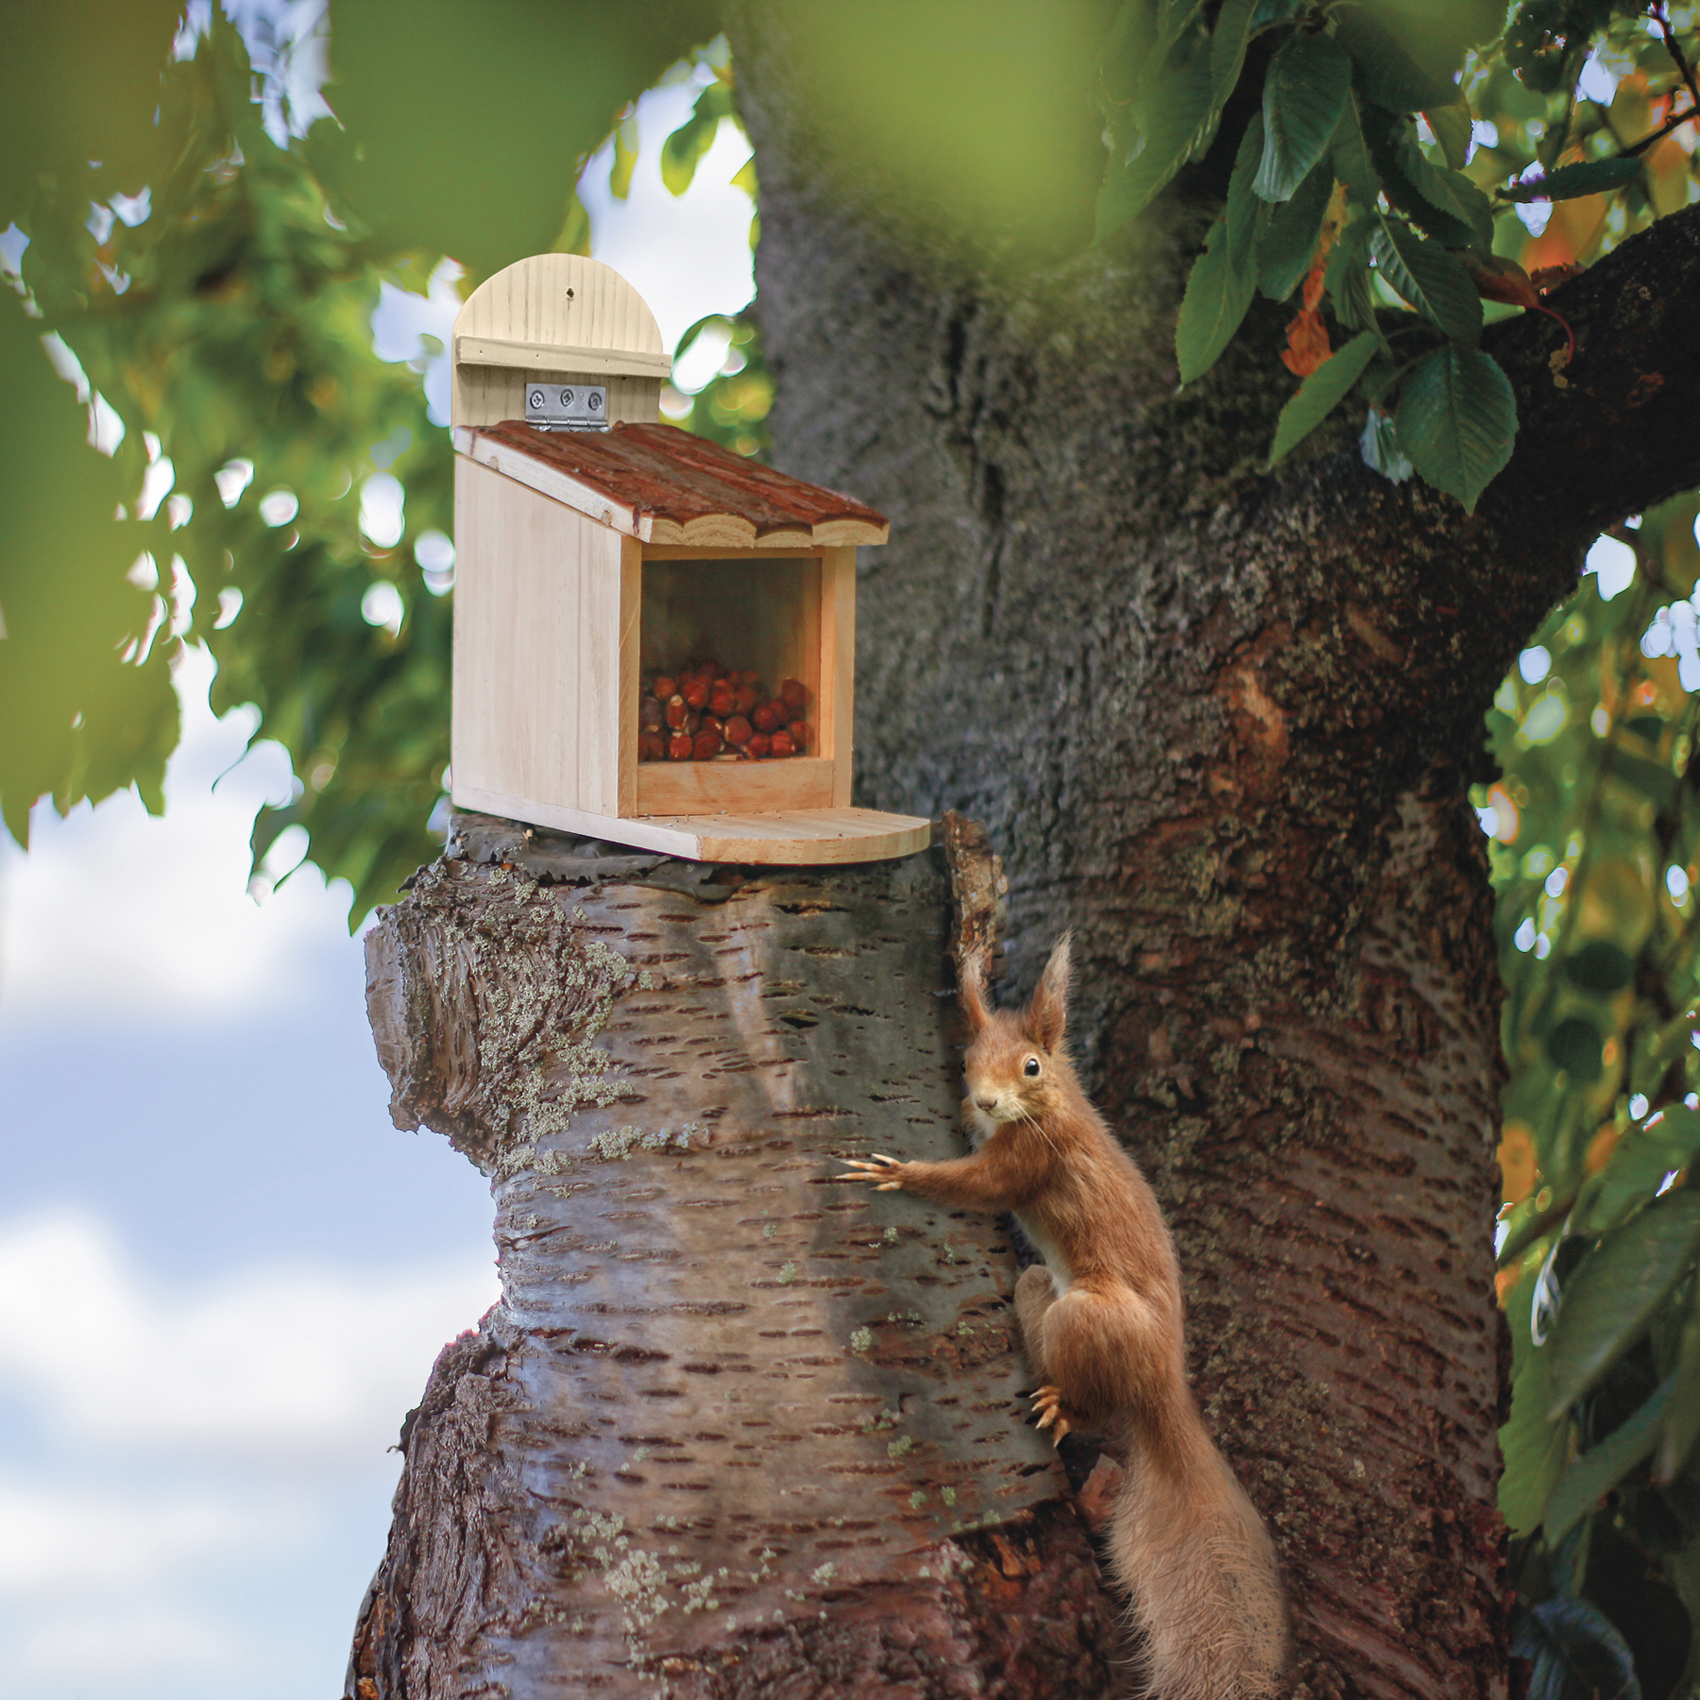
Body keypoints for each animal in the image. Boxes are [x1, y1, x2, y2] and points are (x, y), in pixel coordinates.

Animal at [836, 938, 1285, 1693]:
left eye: (1031, 1065)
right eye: (967, 1060)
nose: (984, 1098)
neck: (1052, 1105)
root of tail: (1163, 1384)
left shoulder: (1027, 1160)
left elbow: (978, 1185)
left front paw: (897, 1174)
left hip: (1085, 1319)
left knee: (1098, 1403)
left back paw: (1064, 1409)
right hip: (1042, 1290)